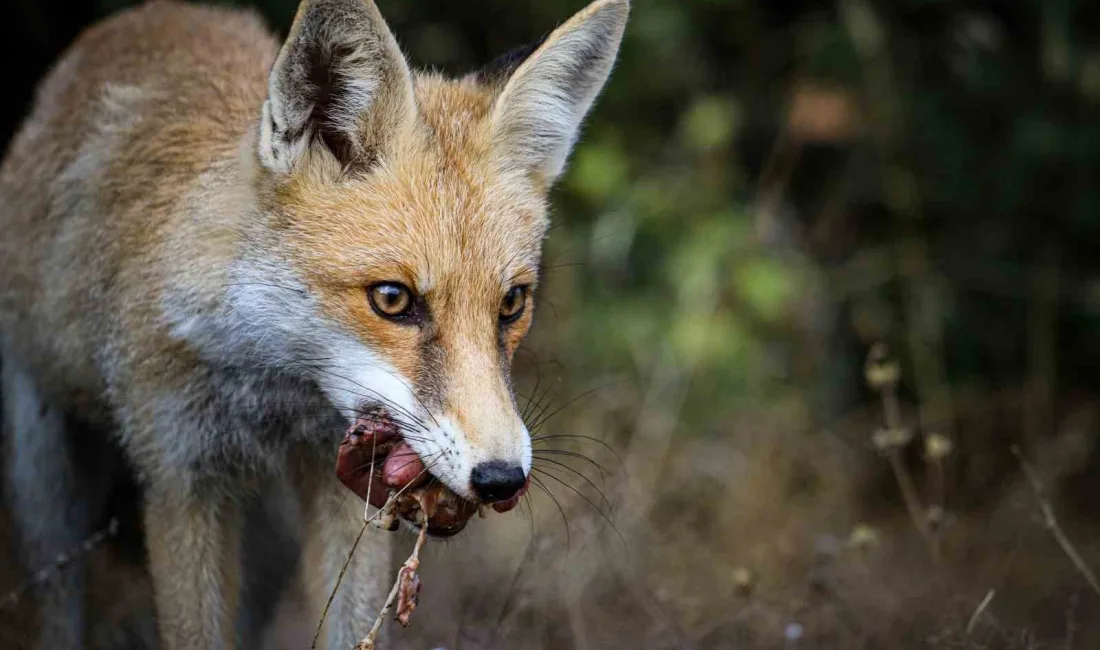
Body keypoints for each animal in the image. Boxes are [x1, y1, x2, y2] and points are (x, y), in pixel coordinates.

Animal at [0, 0, 629, 646]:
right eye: (392, 299)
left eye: (511, 303)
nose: (502, 479)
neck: (274, 392)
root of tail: (154, 14)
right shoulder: (180, 480)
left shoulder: (342, 486)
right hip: (48, 485)